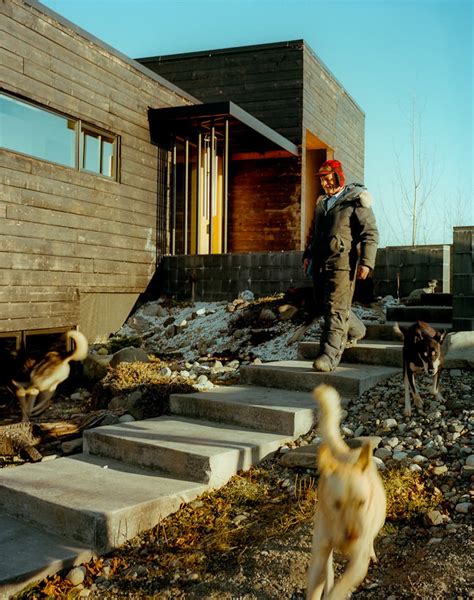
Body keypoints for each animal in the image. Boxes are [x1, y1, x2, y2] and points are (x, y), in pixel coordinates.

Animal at [308, 384, 386, 600]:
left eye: (362, 503)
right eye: (337, 504)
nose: (353, 536)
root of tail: (347, 453)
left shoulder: (358, 564)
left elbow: (339, 590)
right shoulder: (319, 556)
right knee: (329, 569)